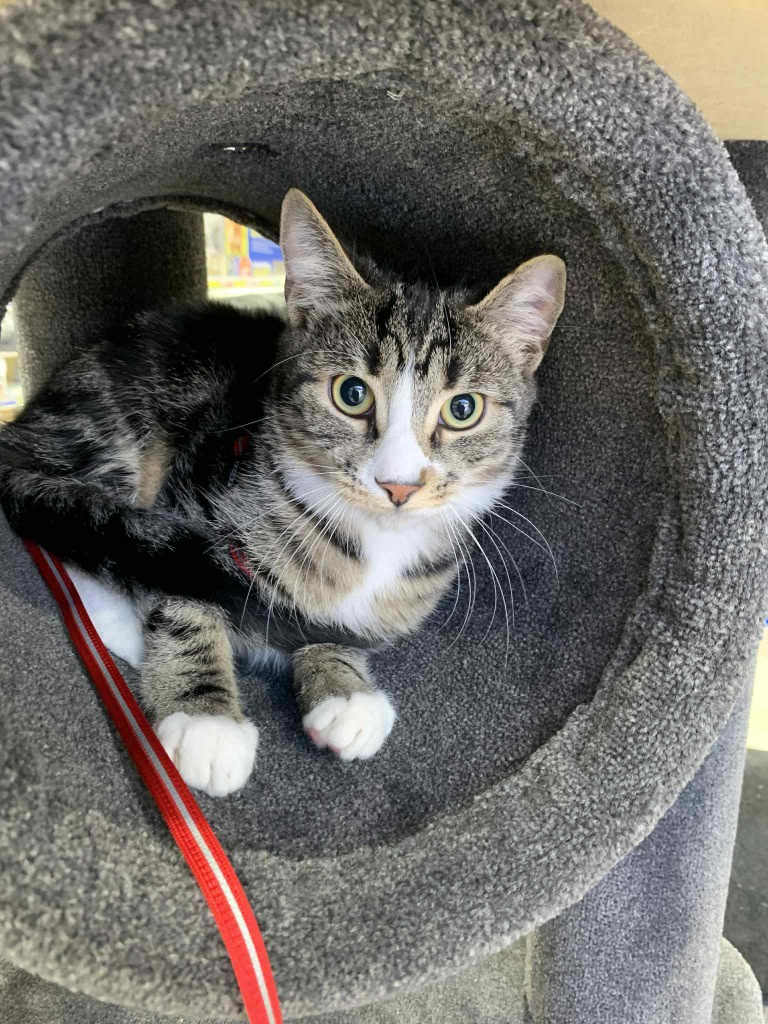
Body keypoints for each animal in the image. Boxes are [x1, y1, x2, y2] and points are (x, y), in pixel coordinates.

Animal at [0, 189, 565, 797]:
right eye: (351, 394)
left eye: (463, 409)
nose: (398, 484)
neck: (372, 543)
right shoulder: (195, 489)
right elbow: (179, 578)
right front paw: (206, 719)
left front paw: (344, 688)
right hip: (114, 422)